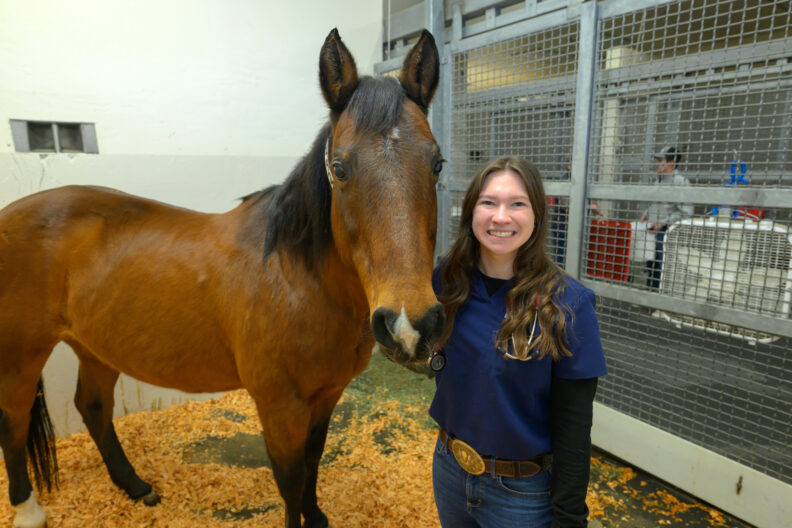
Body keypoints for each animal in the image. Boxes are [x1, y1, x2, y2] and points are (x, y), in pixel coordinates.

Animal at [0, 28, 444, 528]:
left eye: (437, 164)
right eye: (341, 168)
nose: (410, 324)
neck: (298, 281)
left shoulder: (327, 395)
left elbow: (314, 461)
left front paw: (317, 516)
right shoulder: (279, 406)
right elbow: (291, 481)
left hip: (95, 347)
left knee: (93, 409)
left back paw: (136, 487)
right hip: (20, 355)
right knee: (13, 422)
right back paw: (29, 510)